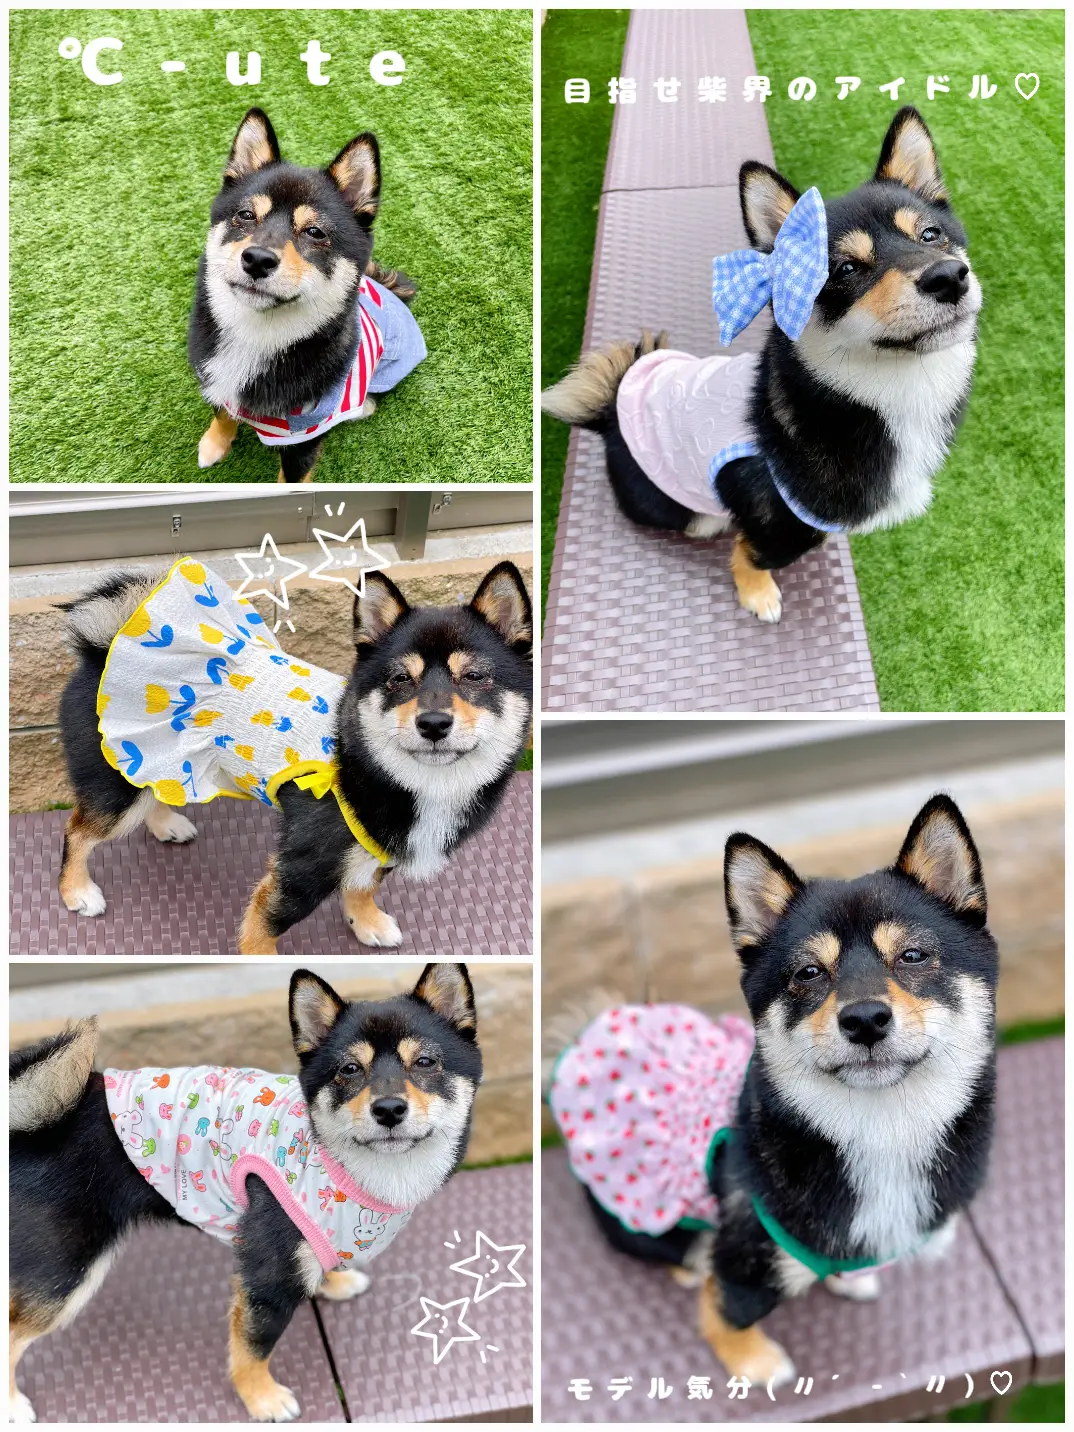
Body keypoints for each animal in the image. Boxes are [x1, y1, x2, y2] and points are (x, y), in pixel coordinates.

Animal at [54, 558, 535, 950]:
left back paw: (166, 823)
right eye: (400, 679)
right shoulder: (298, 874)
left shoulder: (377, 847)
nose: (433, 723)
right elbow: (260, 935)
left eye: (474, 677)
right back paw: (76, 890)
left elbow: (362, 885)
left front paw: (366, 921)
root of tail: (106, 647)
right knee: (77, 830)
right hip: (117, 788)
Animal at [547, 108, 985, 624]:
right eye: (844, 270)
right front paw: (758, 594)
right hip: (691, 513)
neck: (890, 397)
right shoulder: (776, 523)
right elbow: (748, 551)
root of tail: (612, 414)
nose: (948, 277)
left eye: (931, 235)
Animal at [555, 796, 1002, 1386]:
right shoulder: (745, 1262)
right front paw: (755, 1362)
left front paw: (847, 1278)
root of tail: (587, 1035)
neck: (880, 1131)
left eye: (912, 956)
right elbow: (723, 1311)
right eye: (808, 972)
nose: (864, 1019)